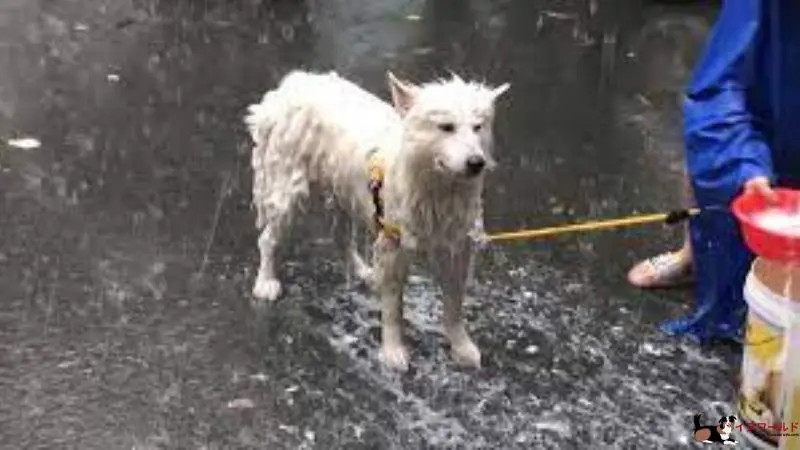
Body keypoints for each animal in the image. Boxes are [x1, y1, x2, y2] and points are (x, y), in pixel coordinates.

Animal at [244, 70, 510, 370]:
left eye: (478, 127)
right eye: (446, 127)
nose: (477, 162)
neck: (439, 189)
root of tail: (292, 85)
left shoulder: (457, 245)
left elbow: (454, 304)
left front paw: (461, 346)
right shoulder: (393, 243)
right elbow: (393, 307)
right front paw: (393, 351)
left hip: (344, 189)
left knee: (340, 236)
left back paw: (363, 271)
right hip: (289, 190)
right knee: (269, 239)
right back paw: (266, 281)